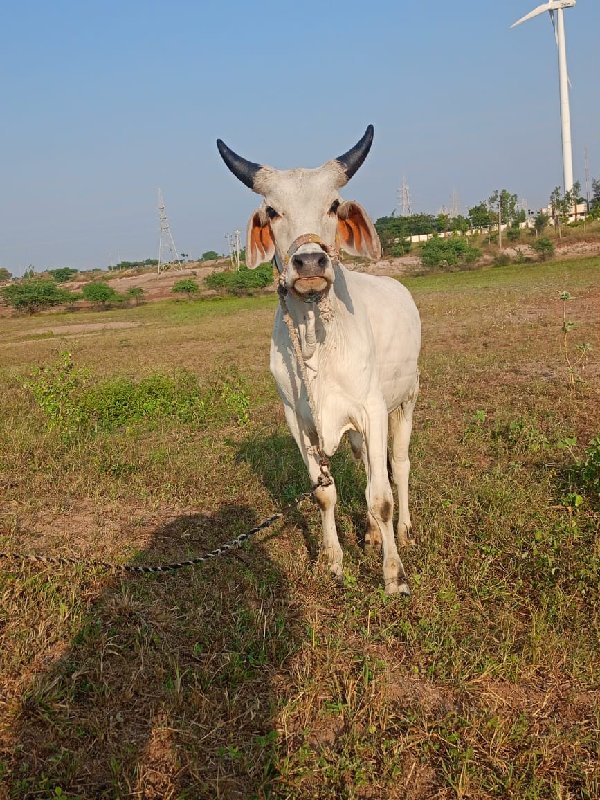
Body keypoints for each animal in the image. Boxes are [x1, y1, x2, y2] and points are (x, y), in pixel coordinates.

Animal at [218, 125, 420, 592]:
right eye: (272, 211)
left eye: (332, 205)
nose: (309, 260)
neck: (317, 341)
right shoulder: (299, 421)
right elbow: (325, 493)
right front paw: (333, 560)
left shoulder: (372, 409)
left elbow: (381, 496)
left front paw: (393, 574)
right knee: (366, 465)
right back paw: (369, 534)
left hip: (406, 400)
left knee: (398, 466)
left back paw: (402, 531)